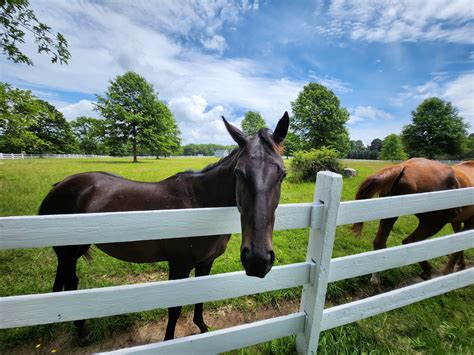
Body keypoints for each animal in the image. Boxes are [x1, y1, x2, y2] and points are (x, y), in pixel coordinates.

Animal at [39, 112, 288, 344]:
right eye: (238, 172)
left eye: (283, 174)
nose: (257, 260)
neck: (200, 202)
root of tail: (59, 186)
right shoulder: (179, 265)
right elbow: (174, 308)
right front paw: (169, 341)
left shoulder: (205, 262)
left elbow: (200, 296)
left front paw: (203, 327)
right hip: (67, 253)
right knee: (67, 282)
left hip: (75, 250)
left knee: (68, 281)